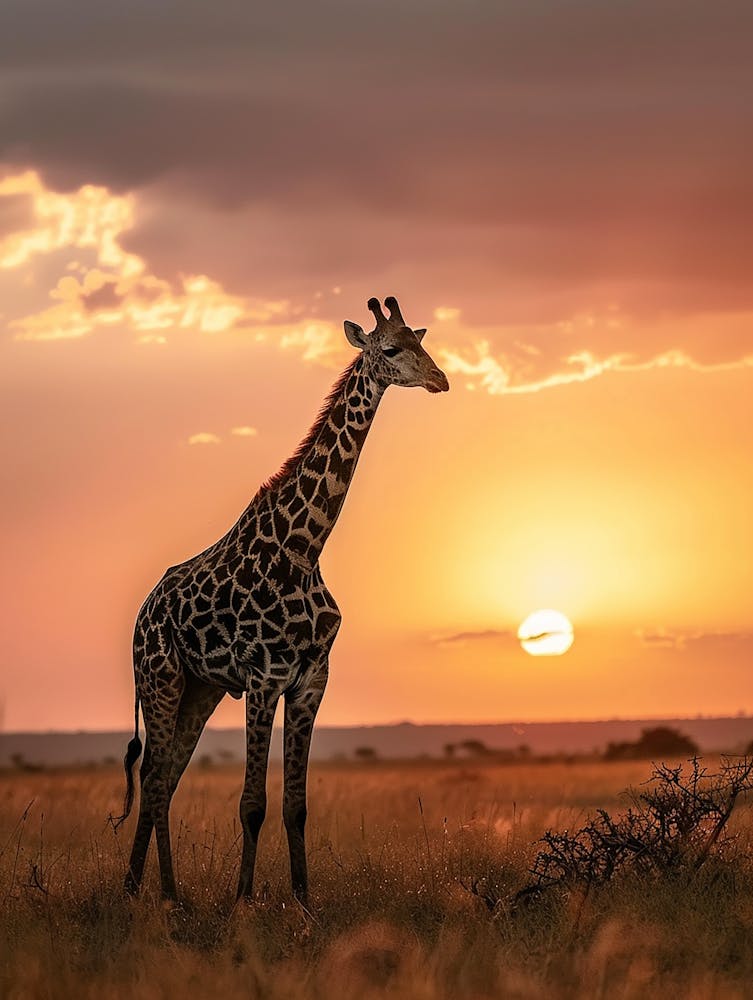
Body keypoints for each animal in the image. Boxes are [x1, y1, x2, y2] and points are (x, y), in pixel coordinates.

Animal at [116, 295, 449, 903]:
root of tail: (143, 612)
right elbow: (253, 803)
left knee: (164, 777)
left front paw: (304, 901)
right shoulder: (263, 677)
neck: (305, 547)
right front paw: (243, 902)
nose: (440, 379)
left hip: (199, 690)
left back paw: (158, 893)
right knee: (152, 777)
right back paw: (151, 893)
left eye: (421, 341)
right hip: (161, 678)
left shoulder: (312, 679)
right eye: (391, 349)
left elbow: (296, 805)